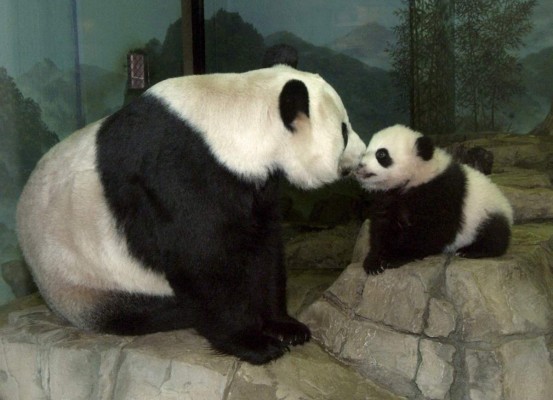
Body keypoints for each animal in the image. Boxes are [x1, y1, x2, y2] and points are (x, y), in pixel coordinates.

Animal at [17, 63, 364, 366]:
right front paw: (254, 342)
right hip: (82, 279)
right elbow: (202, 261)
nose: (363, 157)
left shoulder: (252, 184)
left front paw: (286, 327)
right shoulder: (180, 174)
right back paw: (179, 311)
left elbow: (263, 247)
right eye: (344, 131)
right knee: (141, 312)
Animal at [354, 124, 512, 276]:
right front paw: (374, 261)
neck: (416, 177)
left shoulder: (440, 191)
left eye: (381, 154)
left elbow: (432, 229)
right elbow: (382, 225)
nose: (359, 166)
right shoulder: (389, 197)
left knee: (493, 235)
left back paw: (470, 250)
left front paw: (395, 257)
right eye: (366, 150)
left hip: (487, 213)